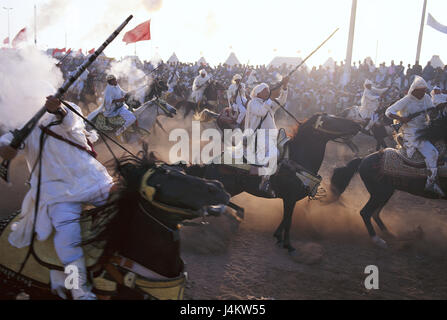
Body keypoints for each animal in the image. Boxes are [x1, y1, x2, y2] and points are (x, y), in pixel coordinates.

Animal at [182, 113, 360, 252]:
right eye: (331, 121)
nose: (357, 124)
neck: (297, 161)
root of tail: (211, 162)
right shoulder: (290, 199)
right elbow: (288, 221)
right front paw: (288, 245)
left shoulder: (290, 200)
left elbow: (285, 219)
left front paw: (278, 237)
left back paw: (237, 213)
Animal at [328, 114, 447, 248]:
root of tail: (363, 160)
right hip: (380, 193)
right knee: (366, 212)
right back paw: (378, 240)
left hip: (385, 193)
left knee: (375, 213)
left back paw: (390, 234)